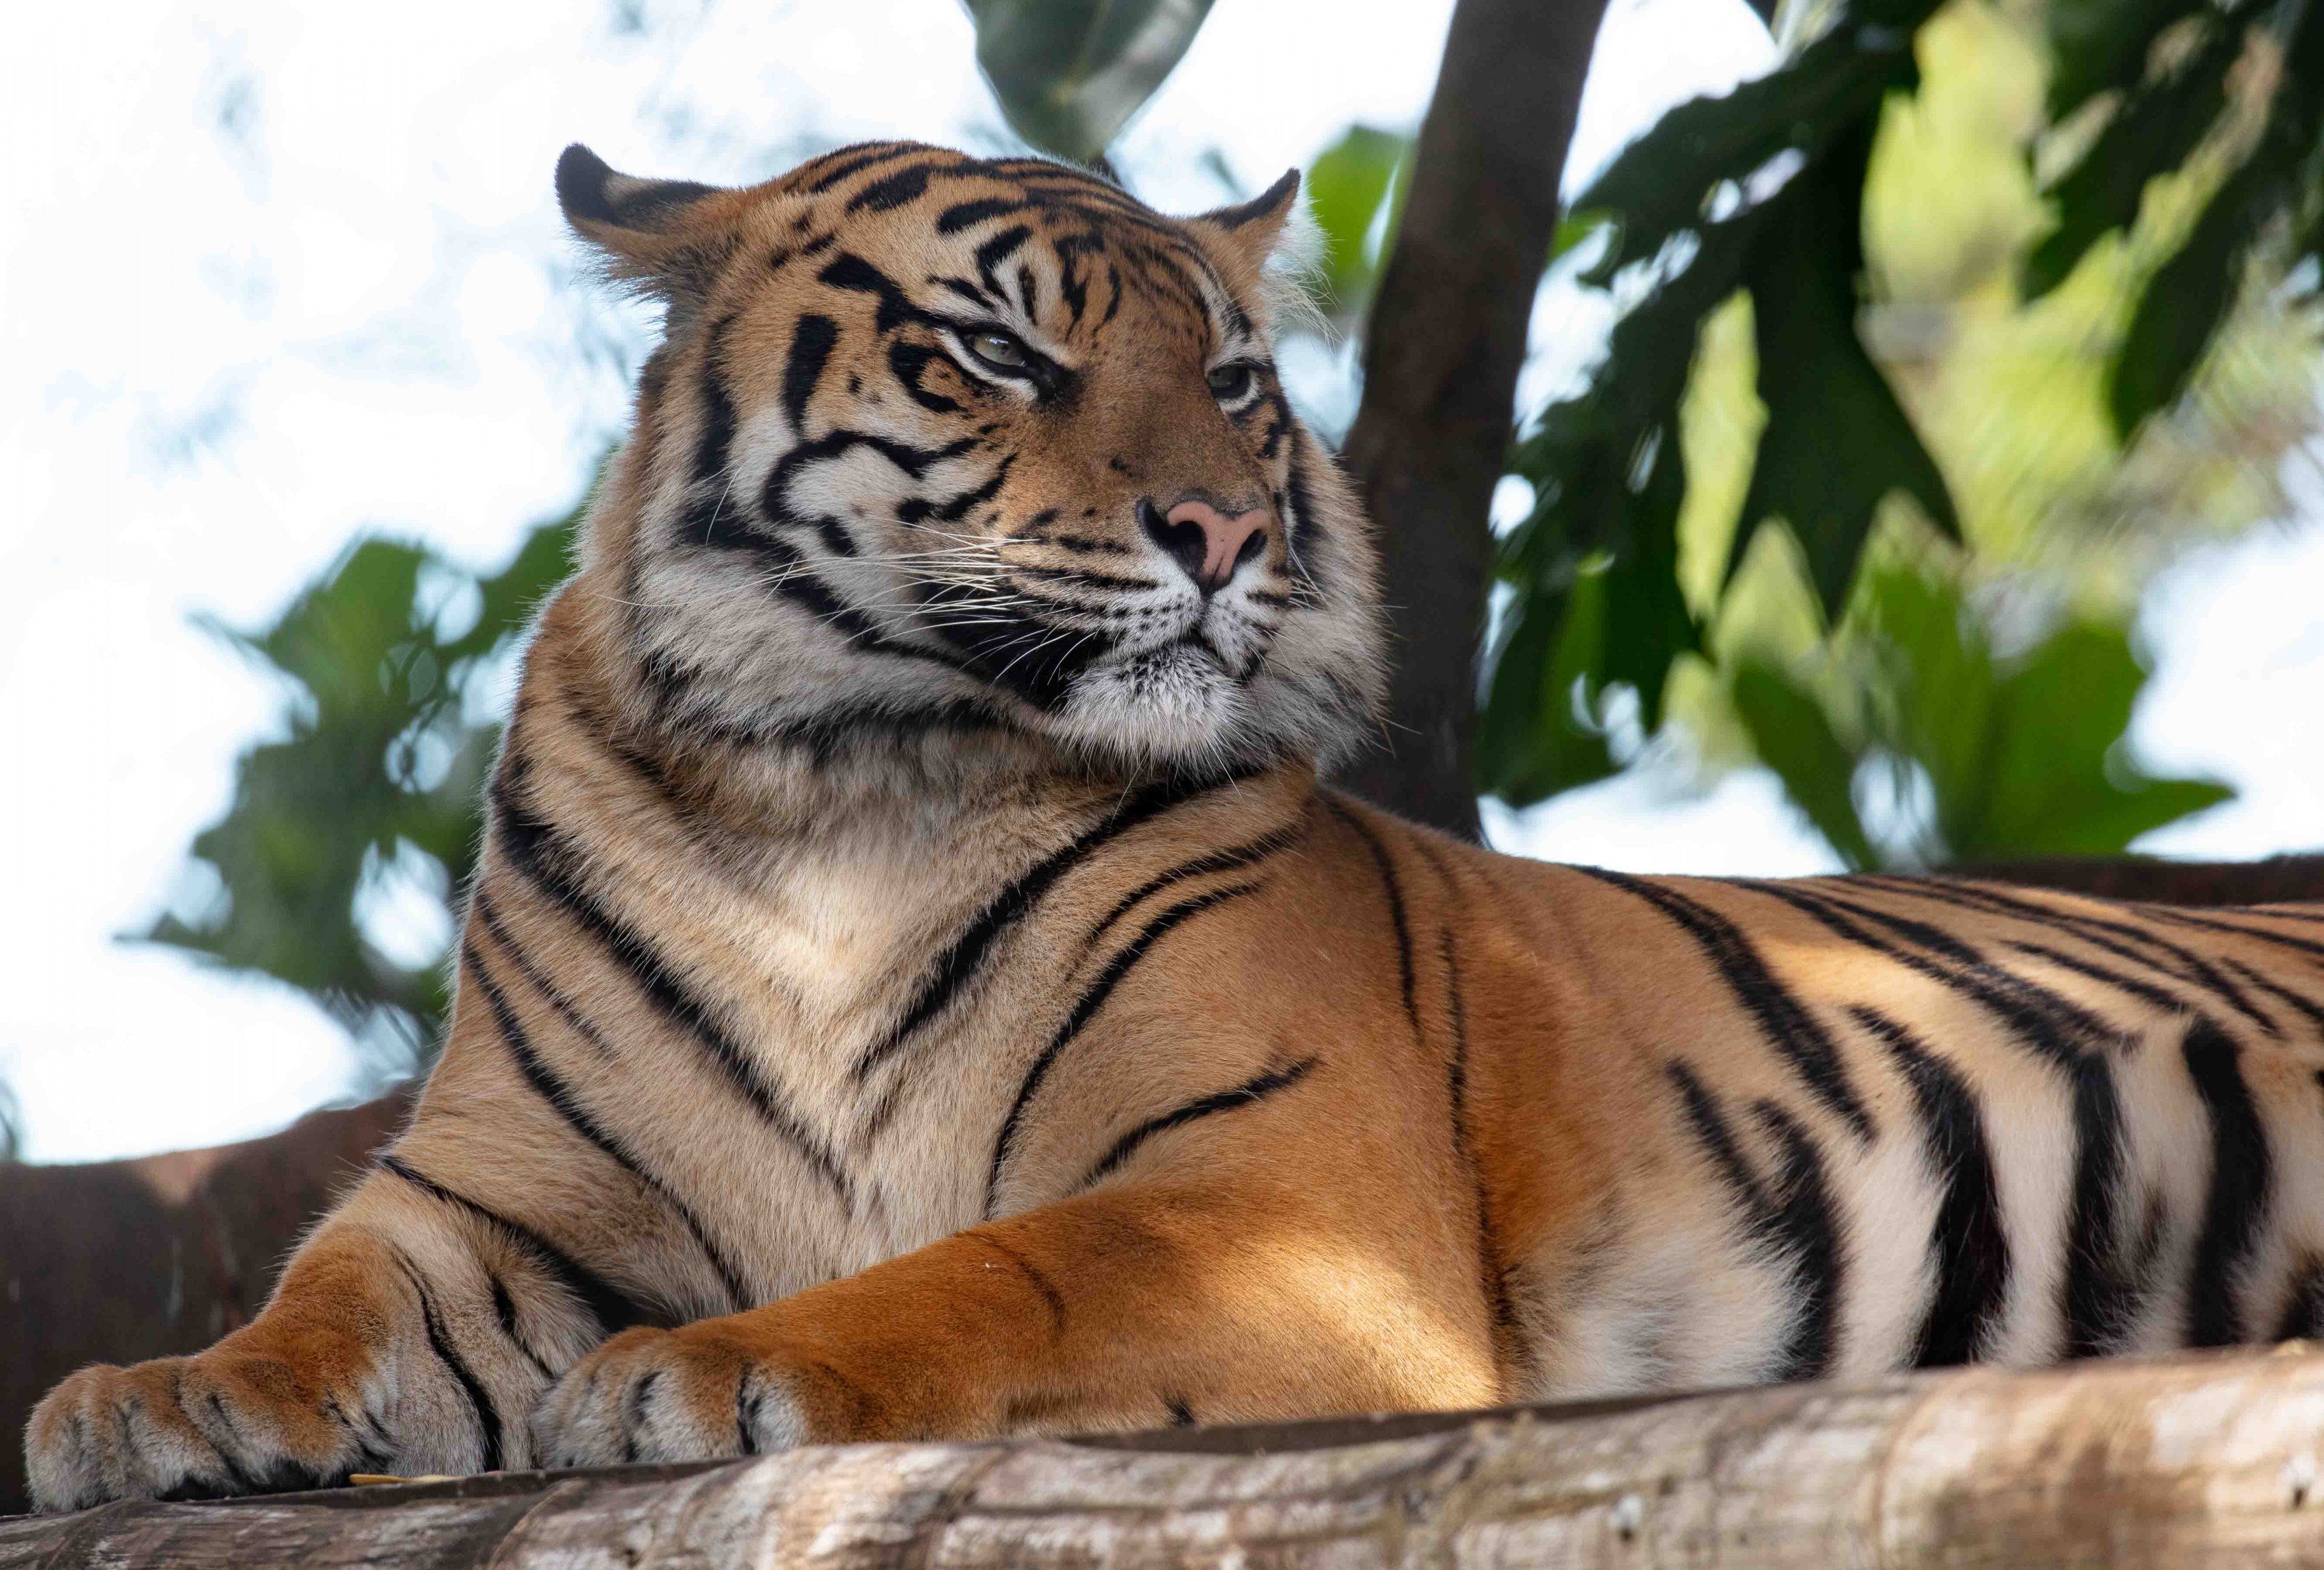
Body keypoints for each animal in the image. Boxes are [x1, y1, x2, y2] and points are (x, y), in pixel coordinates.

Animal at [26, 137, 2324, 1514]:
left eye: (1228, 380)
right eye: (993, 350)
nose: (1221, 532)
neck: (841, 791)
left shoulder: (1282, 1194)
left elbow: (992, 1273)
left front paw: (716, 1364)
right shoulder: (496, 1190)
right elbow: (334, 1290)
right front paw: (154, 1399)